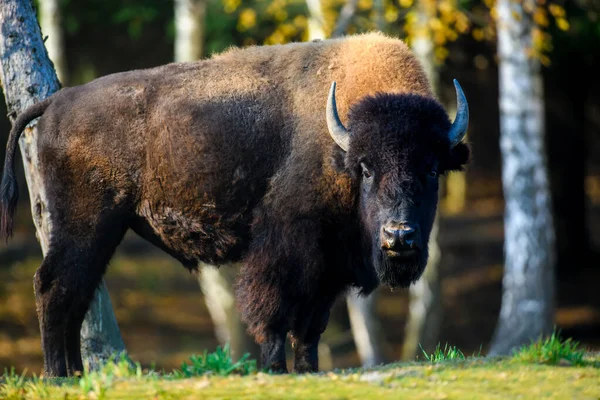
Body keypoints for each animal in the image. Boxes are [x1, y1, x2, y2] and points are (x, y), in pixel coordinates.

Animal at [0, 32, 468, 376]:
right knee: (54, 286)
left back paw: (76, 374)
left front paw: (308, 370)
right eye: (367, 168)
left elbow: (311, 326)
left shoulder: (329, 265)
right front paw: (274, 368)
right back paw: (58, 375)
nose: (399, 236)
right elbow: (274, 311)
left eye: (432, 170)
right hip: (86, 224)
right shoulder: (285, 248)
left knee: (76, 293)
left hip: (101, 232)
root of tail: (58, 101)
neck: (341, 146)